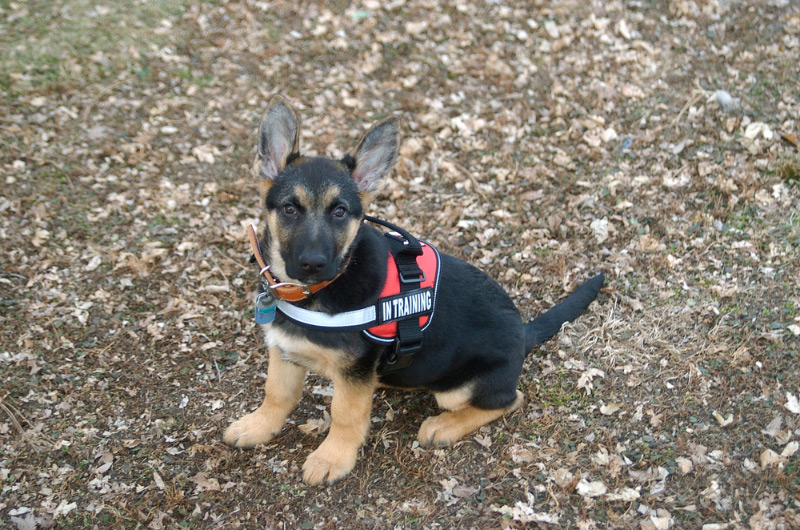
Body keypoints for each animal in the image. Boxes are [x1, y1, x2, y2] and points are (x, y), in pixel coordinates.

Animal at [222, 95, 604, 482]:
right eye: (289, 209)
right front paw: (258, 426)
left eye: (340, 212)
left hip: (459, 388)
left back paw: (444, 425)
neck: (314, 291)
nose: (313, 263)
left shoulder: (353, 370)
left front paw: (332, 457)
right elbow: (276, 393)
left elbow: (345, 413)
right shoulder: (283, 350)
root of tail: (523, 335)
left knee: (509, 400)